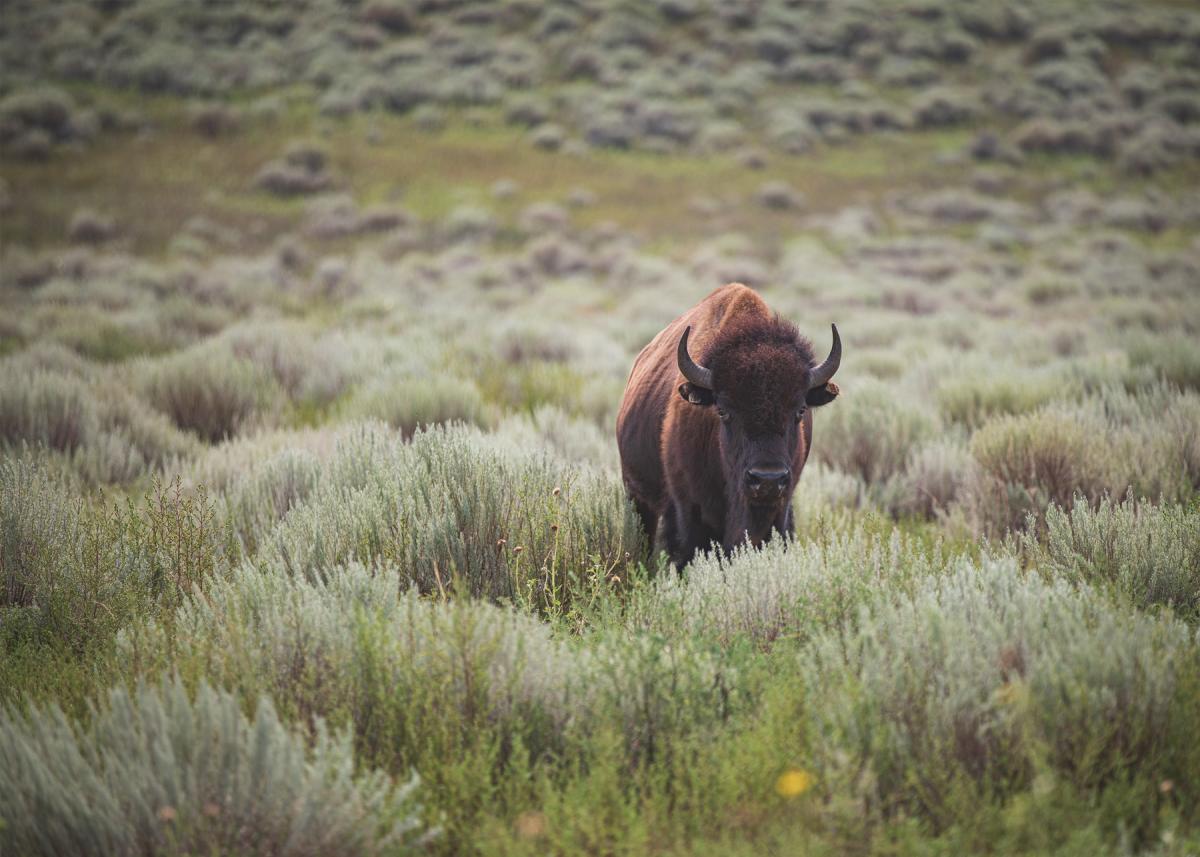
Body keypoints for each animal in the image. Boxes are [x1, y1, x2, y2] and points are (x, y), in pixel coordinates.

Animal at [616, 283, 841, 568]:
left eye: (800, 410)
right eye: (723, 411)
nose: (767, 480)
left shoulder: (781, 511)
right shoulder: (688, 513)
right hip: (637, 495)